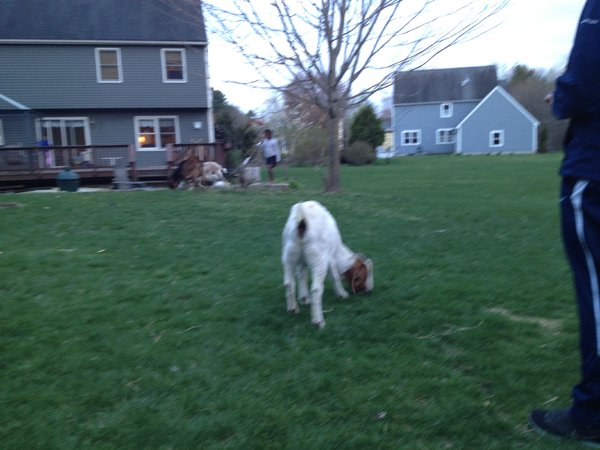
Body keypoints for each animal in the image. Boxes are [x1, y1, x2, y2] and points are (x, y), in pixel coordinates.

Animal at [282, 200, 374, 329]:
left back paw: (293, 309)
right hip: (319, 260)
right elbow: (335, 276)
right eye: (364, 276)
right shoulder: (330, 257)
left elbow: (302, 275)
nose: (369, 290)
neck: (338, 248)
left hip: (289, 256)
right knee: (316, 289)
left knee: (288, 283)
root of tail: (302, 220)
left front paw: (304, 298)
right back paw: (318, 321)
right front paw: (342, 294)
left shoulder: (301, 262)